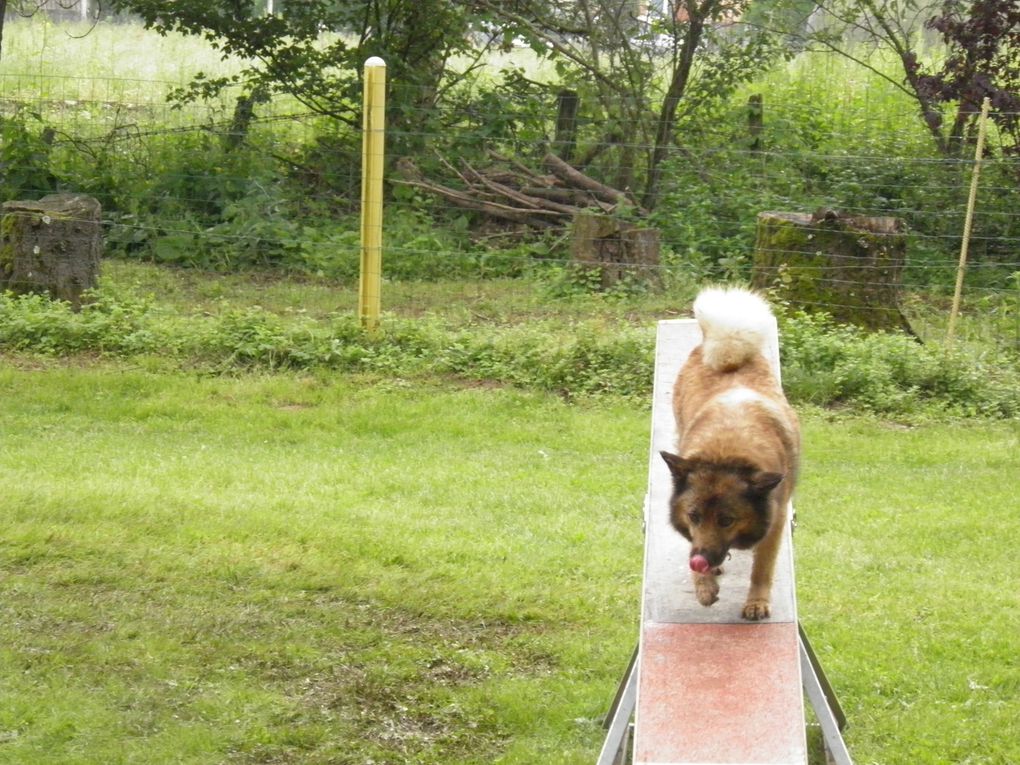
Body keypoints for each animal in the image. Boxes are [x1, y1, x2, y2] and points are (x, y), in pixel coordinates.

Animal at [660, 287, 795, 624]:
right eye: (693, 516)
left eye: (726, 520)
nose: (699, 560)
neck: (726, 454)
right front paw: (704, 586)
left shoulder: (776, 521)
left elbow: (762, 567)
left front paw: (756, 602)